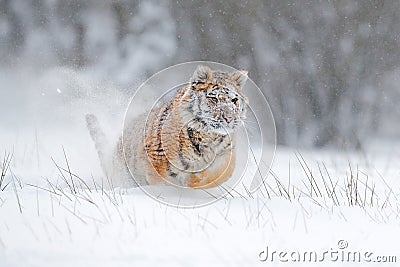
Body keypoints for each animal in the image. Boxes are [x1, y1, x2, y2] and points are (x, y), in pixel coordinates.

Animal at [87, 65, 248, 189]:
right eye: (213, 98)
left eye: (234, 100)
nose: (229, 118)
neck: (210, 136)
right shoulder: (158, 163)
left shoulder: (226, 154)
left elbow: (216, 174)